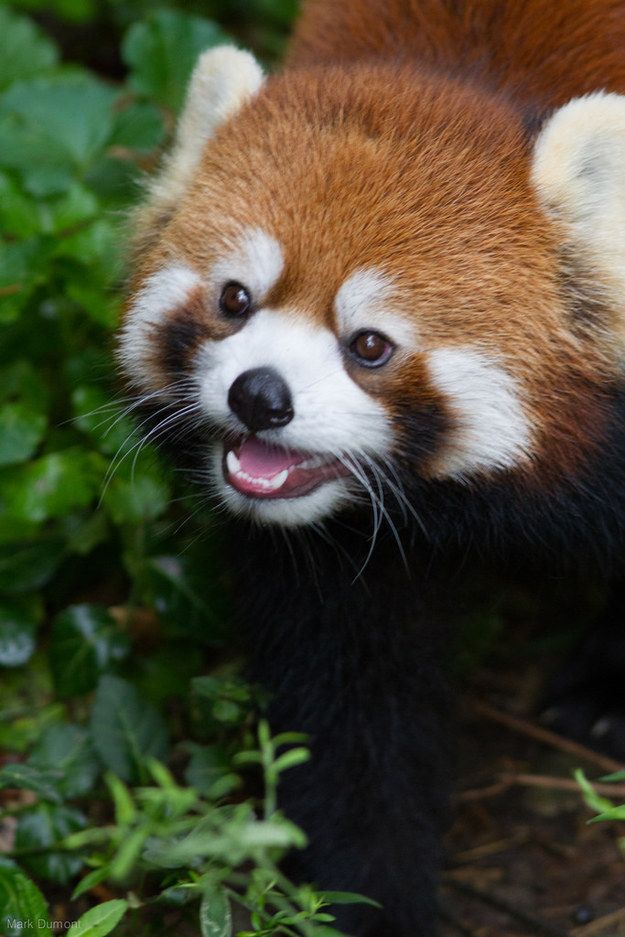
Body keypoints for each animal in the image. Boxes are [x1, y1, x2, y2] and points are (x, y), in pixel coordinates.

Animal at [119, 1, 625, 933]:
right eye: (235, 298)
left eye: (369, 345)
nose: (259, 396)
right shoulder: (334, 558)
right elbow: (352, 717)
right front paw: (368, 895)